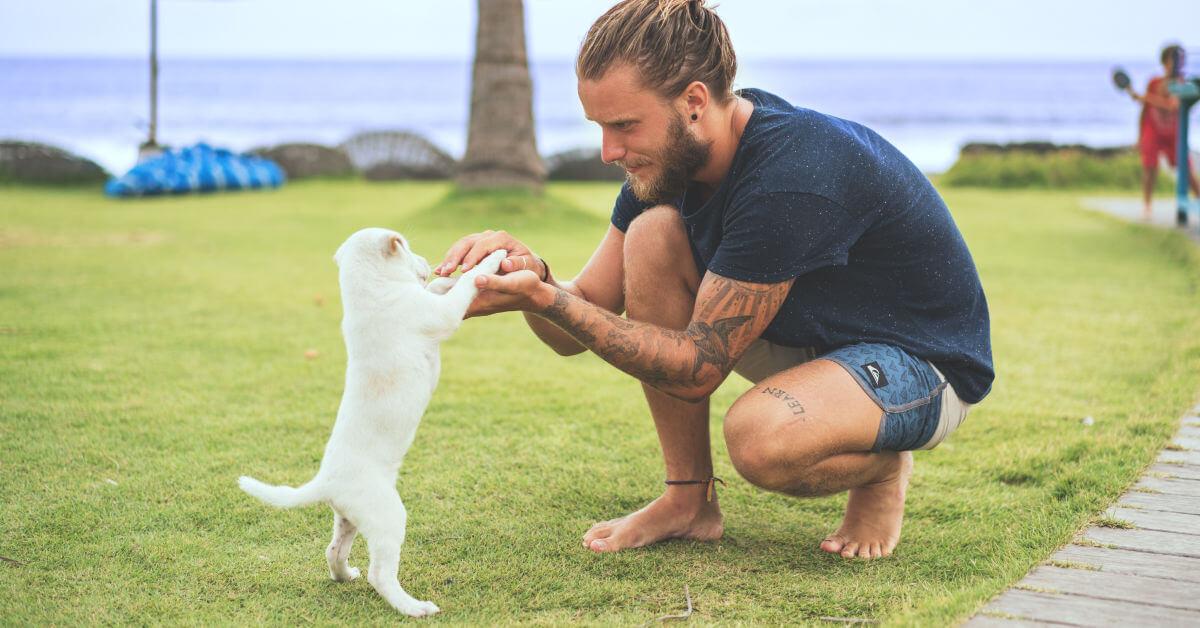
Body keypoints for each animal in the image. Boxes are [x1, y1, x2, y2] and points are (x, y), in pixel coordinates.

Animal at [238, 228, 506, 614]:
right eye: (407, 247)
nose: (430, 263)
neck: (369, 290)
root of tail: (325, 481)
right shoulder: (439, 315)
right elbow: (465, 287)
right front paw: (491, 260)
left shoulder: (426, 301)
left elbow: (438, 288)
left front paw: (448, 277)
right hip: (388, 516)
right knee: (380, 574)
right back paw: (414, 607)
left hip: (349, 517)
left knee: (333, 550)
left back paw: (344, 575)